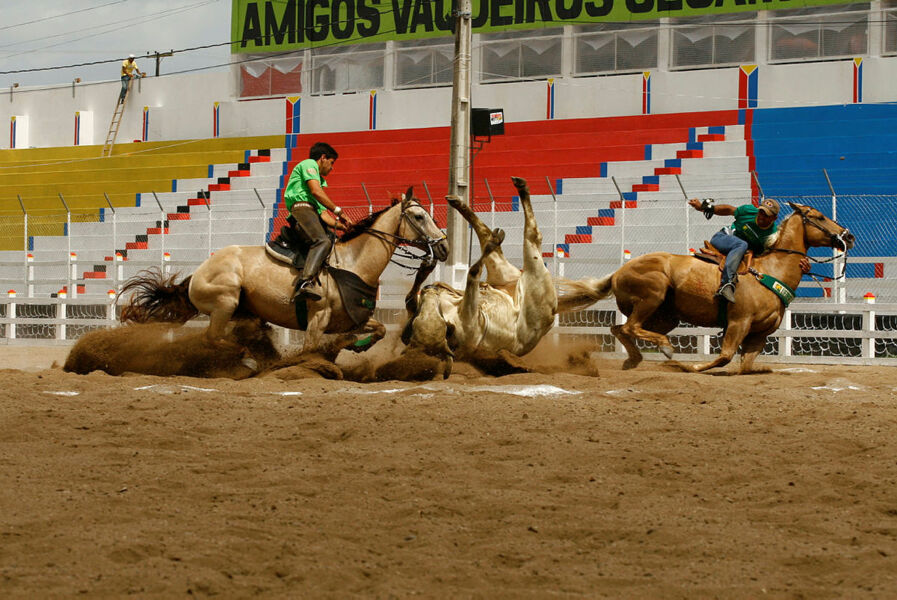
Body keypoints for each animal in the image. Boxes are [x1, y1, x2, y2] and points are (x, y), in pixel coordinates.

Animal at [120, 190, 452, 364]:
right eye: (419, 216)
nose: (445, 246)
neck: (353, 263)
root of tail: (197, 273)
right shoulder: (318, 320)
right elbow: (310, 349)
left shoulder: (352, 318)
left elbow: (381, 329)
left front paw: (357, 347)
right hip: (225, 302)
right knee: (212, 338)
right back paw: (246, 356)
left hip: (244, 311)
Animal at [568, 204, 856, 372]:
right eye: (819, 217)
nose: (849, 236)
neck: (771, 270)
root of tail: (617, 272)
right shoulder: (739, 322)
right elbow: (725, 356)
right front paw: (692, 367)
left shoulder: (760, 334)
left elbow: (746, 366)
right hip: (653, 296)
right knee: (630, 327)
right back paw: (666, 348)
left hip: (666, 316)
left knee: (621, 328)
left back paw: (634, 359)